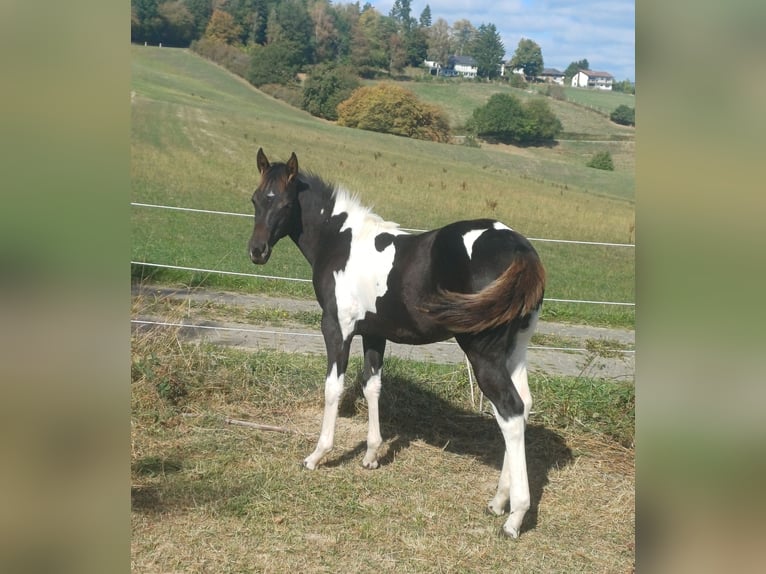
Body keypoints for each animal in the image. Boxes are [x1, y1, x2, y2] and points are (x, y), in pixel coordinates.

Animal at [247, 148, 545, 539]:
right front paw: (372, 455)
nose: (257, 251)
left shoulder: (337, 328)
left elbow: (333, 388)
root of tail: (519, 248)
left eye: (283, 203)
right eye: (255, 200)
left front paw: (317, 455)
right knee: (523, 406)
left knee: (509, 411)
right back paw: (499, 501)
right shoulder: (374, 333)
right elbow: (372, 386)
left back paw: (514, 517)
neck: (341, 241)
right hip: (515, 351)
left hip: (484, 355)